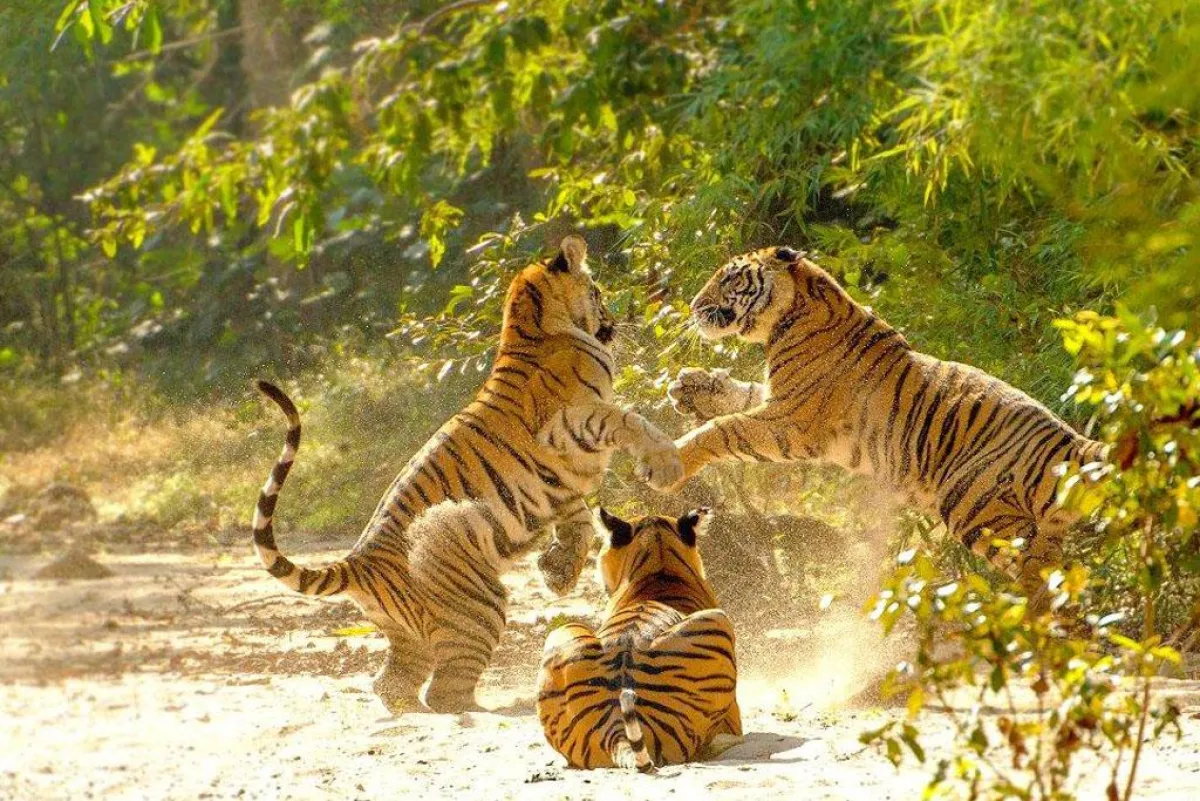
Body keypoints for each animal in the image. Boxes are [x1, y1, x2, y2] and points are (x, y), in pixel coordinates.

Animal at [251, 236, 683, 714]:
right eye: (599, 292)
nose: (615, 321)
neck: (527, 324)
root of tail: (358, 561)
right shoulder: (573, 423)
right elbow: (629, 421)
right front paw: (666, 464)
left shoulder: (563, 476)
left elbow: (578, 520)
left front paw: (558, 572)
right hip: (478, 605)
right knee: (445, 693)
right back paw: (506, 704)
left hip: (409, 633)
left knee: (392, 684)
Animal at [659, 246, 1106, 601]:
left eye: (730, 278)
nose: (694, 306)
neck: (790, 317)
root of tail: (1073, 441)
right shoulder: (778, 401)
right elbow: (739, 395)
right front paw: (692, 387)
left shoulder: (790, 421)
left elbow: (725, 429)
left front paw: (671, 462)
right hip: (1035, 529)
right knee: (1066, 576)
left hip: (978, 510)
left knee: (1044, 577)